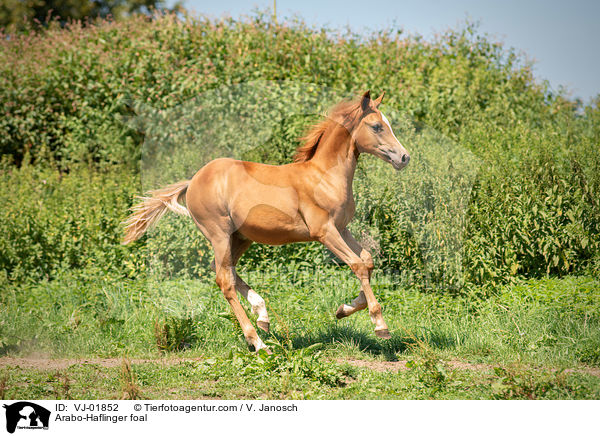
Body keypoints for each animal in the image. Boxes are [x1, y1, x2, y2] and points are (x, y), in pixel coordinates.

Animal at [124, 91, 410, 350]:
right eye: (376, 126)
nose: (404, 157)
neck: (324, 176)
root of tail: (192, 181)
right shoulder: (324, 231)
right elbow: (357, 265)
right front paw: (380, 325)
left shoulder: (342, 228)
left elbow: (367, 261)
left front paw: (343, 309)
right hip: (219, 235)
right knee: (224, 281)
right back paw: (258, 342)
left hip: (240, 238)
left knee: (225, 272)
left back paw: (262, 315)